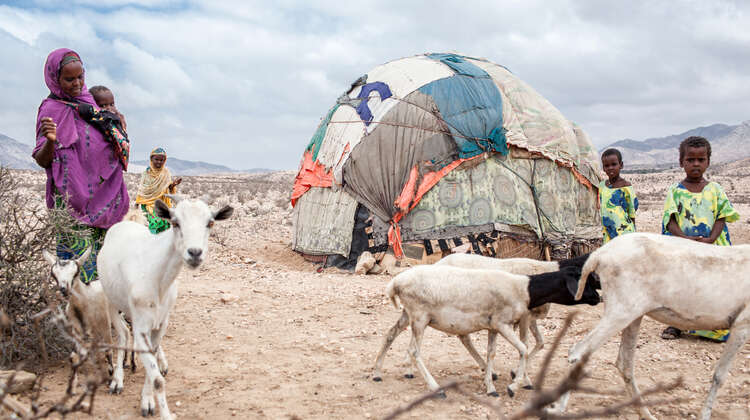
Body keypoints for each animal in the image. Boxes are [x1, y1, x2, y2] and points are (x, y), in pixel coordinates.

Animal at [43, 246, 116, 392]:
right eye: (54, 274)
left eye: (76, 272)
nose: (64, 289)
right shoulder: (77, 329)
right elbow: (74, 356)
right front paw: (71, 386)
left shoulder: (104, 324)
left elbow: (108, 349)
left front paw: (111, 381)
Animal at [98, 197, 233, 420]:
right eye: (175, 222)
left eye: (210, 223)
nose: (194, 253)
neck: (156, 275)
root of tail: (126, 222)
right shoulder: (142, 326)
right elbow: (158, 380)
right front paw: (163, 412)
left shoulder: (162, 323)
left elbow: (152, 367)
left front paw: (147, 401)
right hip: (110, 300)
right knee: (123, 334)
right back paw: (117, 380)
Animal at [373, 264, 600, 397]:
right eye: (582, 281)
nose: (598, 298)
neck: (524, 289)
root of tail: (395, 283)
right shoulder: (502, 323)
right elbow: (524, 349)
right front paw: (513, 386)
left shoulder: (493, 326)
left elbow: (491, 353)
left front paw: (491, 387)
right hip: (420, 317)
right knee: (414, 351)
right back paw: (436, 389)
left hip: (408, 314)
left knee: (390, 334)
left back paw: (377, 373)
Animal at [550, 232, 750, 420]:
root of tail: (599, 254)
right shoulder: (742, 324)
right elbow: (719, 376)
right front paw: (704, 416)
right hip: (620, 311)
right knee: (579, 351)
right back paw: (559, 409)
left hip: (633, 315)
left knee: (624, 363)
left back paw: (645, 413)